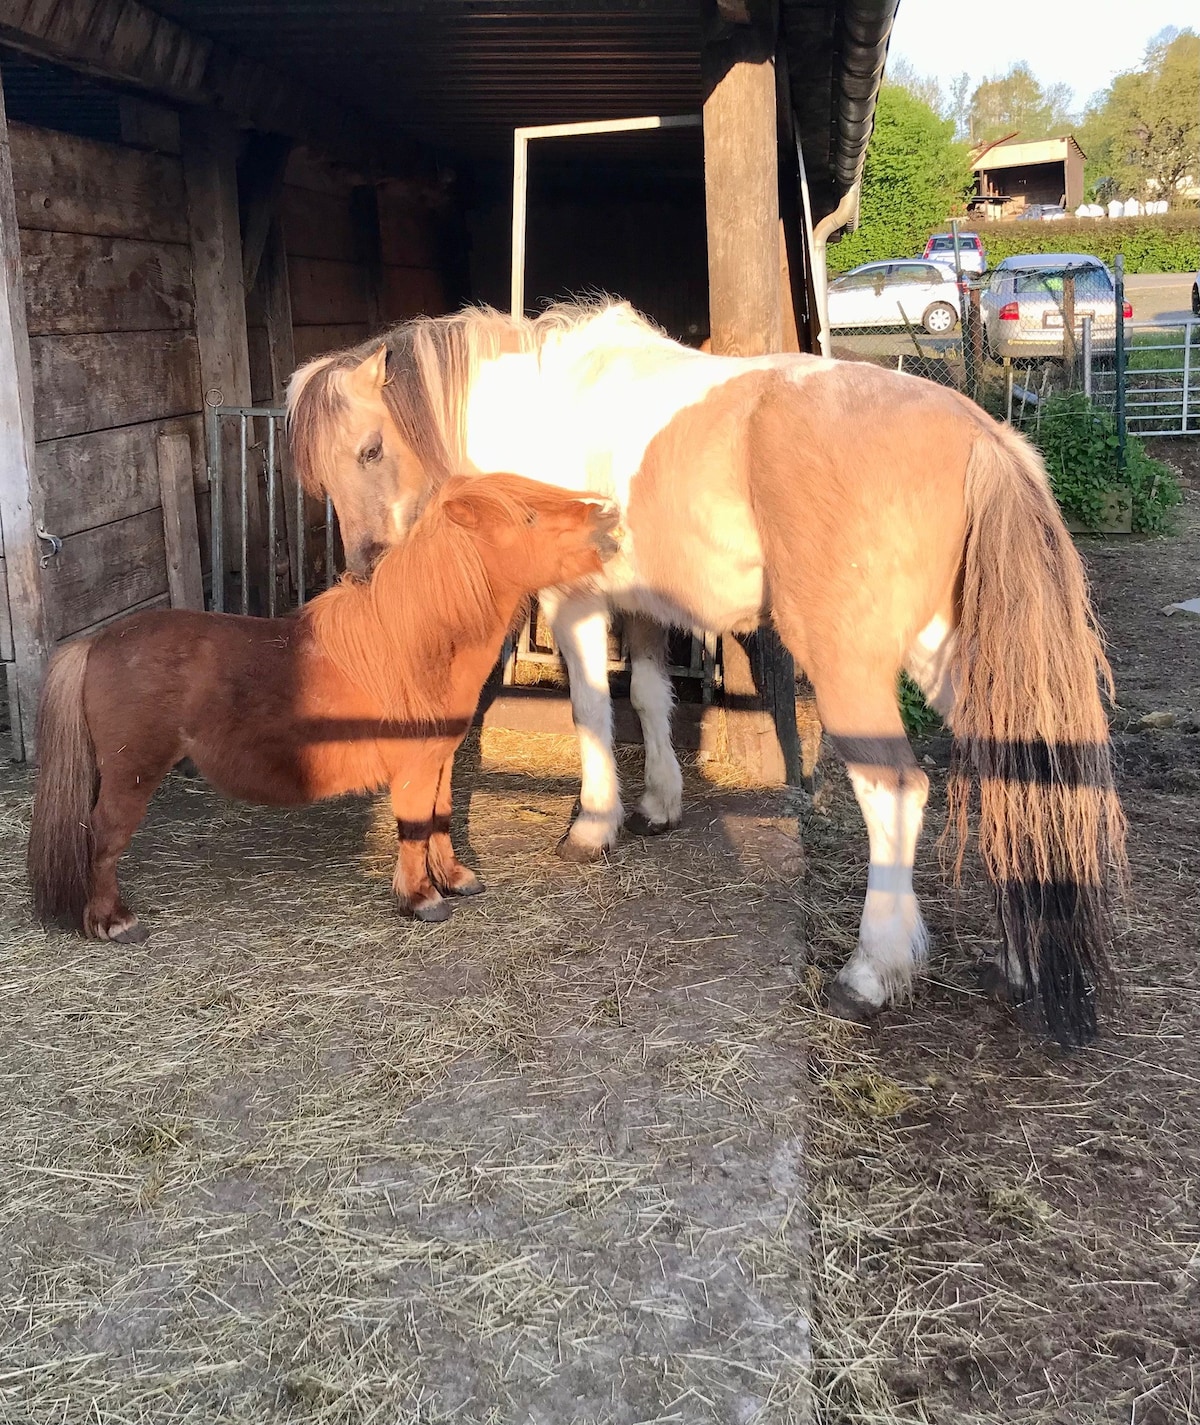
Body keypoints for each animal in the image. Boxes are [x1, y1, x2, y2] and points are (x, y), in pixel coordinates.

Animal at [28, 473, 618, 940]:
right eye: (529, 515)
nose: (609, 520)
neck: (419, 643)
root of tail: (97, 643)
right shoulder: (413, 767)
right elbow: (414, 829)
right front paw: (422, 900)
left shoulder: (440, 759)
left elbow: (440, 820)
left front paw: (454, 880)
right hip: (131, 773)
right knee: (104, 838)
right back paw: (112, 921)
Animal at [287, 297, 1123, 1048]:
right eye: (318, 479)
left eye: (371, 449)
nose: (368, 571)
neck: (547, 411)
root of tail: (983, 434)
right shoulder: (644, 605)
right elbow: (651, 698)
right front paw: (657, 804)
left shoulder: (575, 603)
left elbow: (593, 710)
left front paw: (594, 825)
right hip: (948, 653)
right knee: (1017, 764)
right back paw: (1018, 963)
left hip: (854, 663)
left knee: (895, 789)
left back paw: (870, 972)